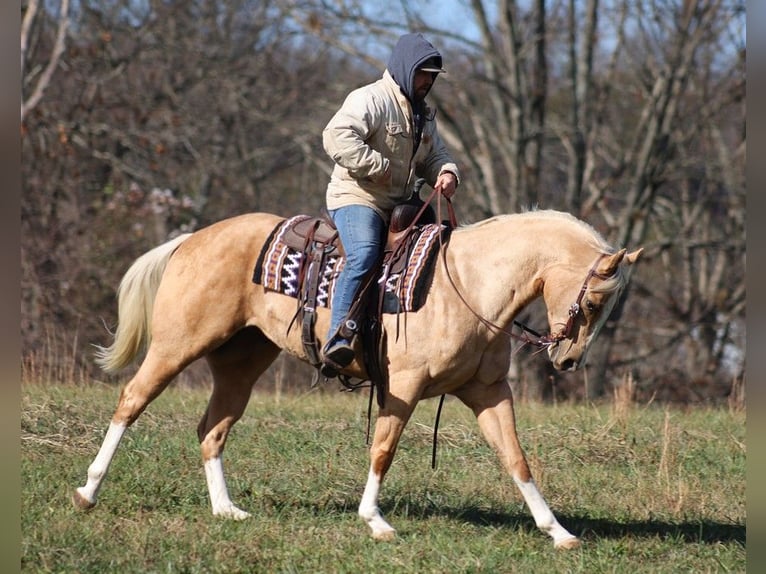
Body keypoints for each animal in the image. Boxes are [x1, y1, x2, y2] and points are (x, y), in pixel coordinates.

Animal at [76, 210, 640, 548]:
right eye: (593, 303)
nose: (569, 361)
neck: (471, 285)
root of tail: (192, 239)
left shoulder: (488, 392)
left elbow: (517, 459)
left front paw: (558, 532)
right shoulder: (403, 387)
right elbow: (383, 450)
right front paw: (375, 520)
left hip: (242, 363)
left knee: (211, 430)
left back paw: (226, 510)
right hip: (176, 347)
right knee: (130, 402)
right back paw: (88, 491)